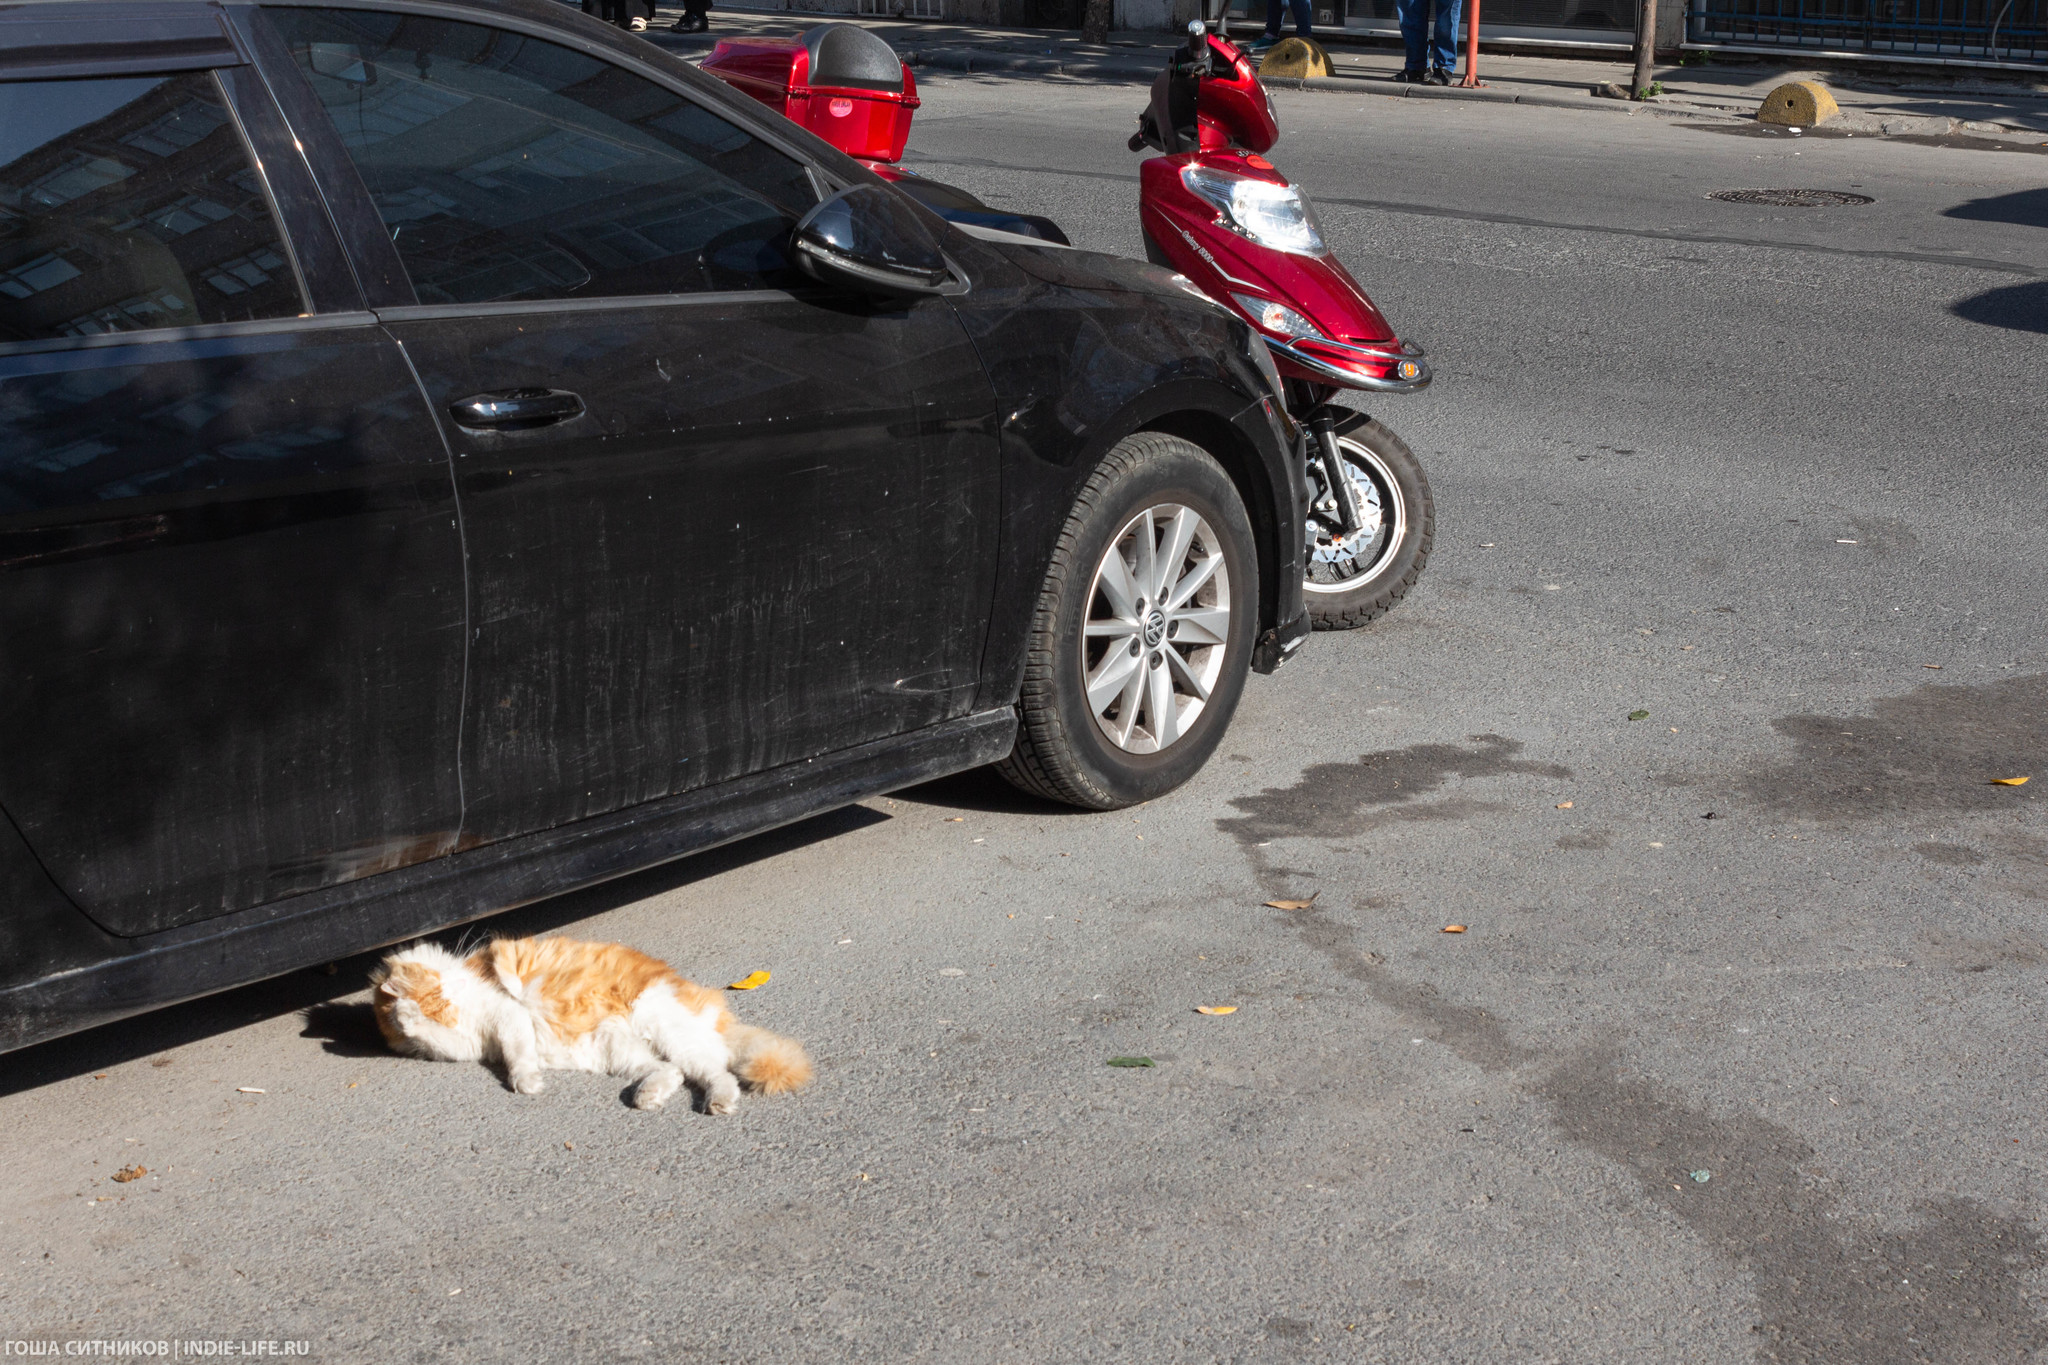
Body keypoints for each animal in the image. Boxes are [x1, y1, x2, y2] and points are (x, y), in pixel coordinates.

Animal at [376, 933, 806, 1113]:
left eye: (441, 994)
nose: (451, 998)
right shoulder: (468, 1044)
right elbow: (437, 1036)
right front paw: (408, 1017)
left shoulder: (506, 1015)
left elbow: (517, 1056)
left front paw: (525, 1081)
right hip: (621, 1052)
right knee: (673, 1072)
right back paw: (649, 1096)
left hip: (665, 1029)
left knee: (717, 1074)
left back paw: (719, 1101)